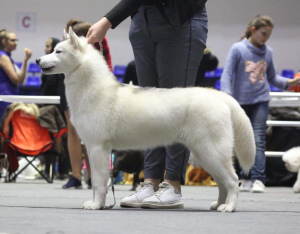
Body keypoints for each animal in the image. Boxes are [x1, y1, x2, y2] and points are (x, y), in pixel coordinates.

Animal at [35, 27, 255, 212]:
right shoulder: (93, 148)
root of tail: (218, 95)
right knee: (222, 182)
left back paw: (229, 206)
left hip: (211, 152)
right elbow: (98, 182)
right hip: (205, 155)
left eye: (58, 51)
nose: (37, 60)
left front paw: (97, 205)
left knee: (233, 180)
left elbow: (98, 182)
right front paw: (98, 203)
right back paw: (218, 204)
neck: (90, 87)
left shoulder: (98, 148)